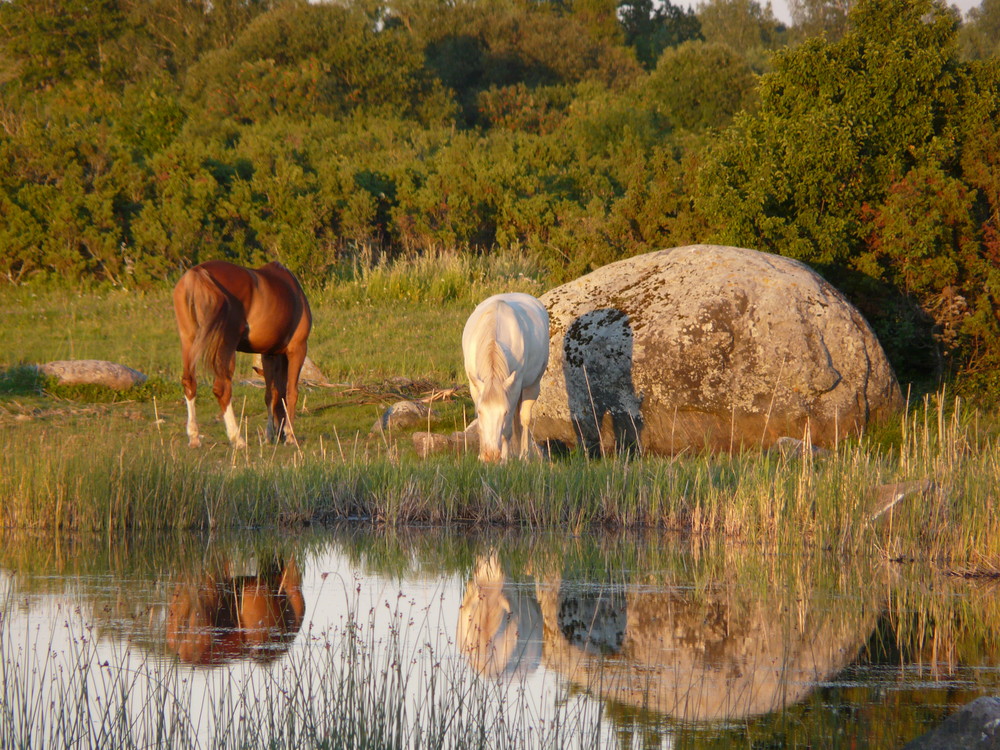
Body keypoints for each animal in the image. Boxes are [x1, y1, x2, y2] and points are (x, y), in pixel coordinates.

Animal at [172, 260, 310, 446]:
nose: (279, 433)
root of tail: (198, 273)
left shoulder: (269, 355)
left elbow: (271, 394)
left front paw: (270, 435)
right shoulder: (298, 349)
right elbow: (290, 392)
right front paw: (290, 436)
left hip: (188, 341)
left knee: (189, 383)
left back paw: (194, 437)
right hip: (227, 346)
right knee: (222, 388)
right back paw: (237, 439)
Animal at [460, 290, 548, 462]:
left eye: (505, 412)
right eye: (480, 411)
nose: (491, 455)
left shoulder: (515, 385)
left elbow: (508, 428)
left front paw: (505, 459)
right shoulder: (474, 385)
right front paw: (481, 455)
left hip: (533, 384)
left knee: (524, 419)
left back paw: (524, 456)